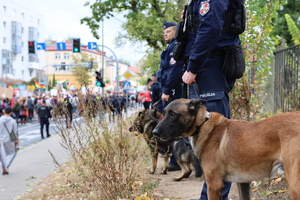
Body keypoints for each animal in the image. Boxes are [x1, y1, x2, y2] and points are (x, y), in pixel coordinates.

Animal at [152, 99, 300, 200]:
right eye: (164, 113)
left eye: (172, 114)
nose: (154, 132)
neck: (202, 124)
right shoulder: (243, 182)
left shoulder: (214, 184)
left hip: (294, 186)